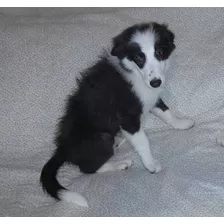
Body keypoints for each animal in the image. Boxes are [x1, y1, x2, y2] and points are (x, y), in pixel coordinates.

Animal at [40, 21, 194, 207]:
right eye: (139, 58)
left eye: (159, 52)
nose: (156, 82)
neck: (135, 73)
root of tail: (63, 148)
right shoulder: (128, 117)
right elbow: (143, 141)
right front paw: (150, 164)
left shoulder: (151, 97)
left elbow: (165, 111)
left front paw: (181, 123)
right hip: (102, 138)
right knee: (88, 168)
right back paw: (120, 164)